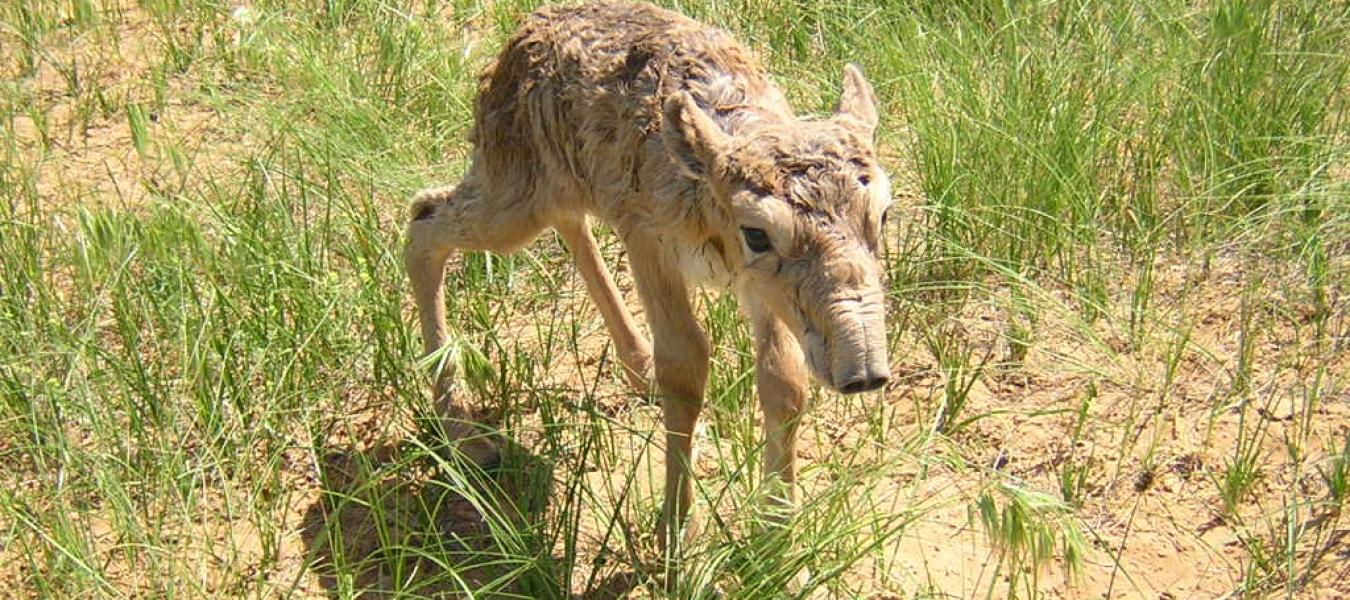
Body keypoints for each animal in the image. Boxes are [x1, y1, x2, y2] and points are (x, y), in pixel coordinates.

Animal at [405, 1, 891, 548]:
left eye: (883, 215)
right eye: (758, 233)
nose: (864, 373)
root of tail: (523, 33)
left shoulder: (759, 287)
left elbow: (784, 380)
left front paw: (775, 529)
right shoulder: (649, 240)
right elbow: (685, 363)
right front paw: (676, 529)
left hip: (552, 188)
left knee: (569, 225)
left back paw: (637, 371)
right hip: (512, 196)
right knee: (424, 220)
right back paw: (459, 428)